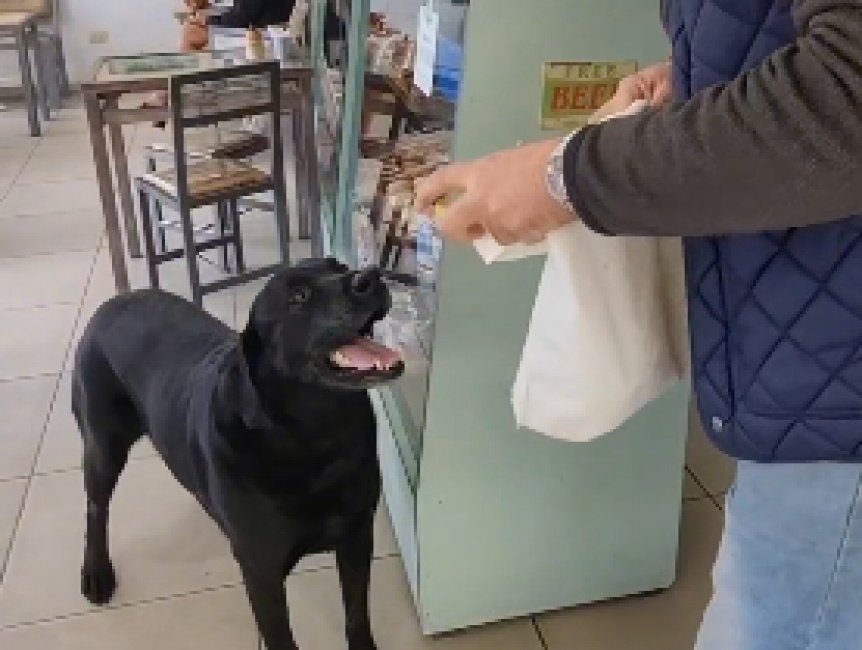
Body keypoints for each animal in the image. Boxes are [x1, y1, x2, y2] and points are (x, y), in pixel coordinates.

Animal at [71, 256, 404, 644]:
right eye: (299, 297)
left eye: (338, 265)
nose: (371, 276)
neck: (315, 438)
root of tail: (113, 303)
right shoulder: (262, 571)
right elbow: (281, 639)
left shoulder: (356, 535)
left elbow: (357, 616)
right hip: (103, 446)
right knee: (96, 508)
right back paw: (96, 571)